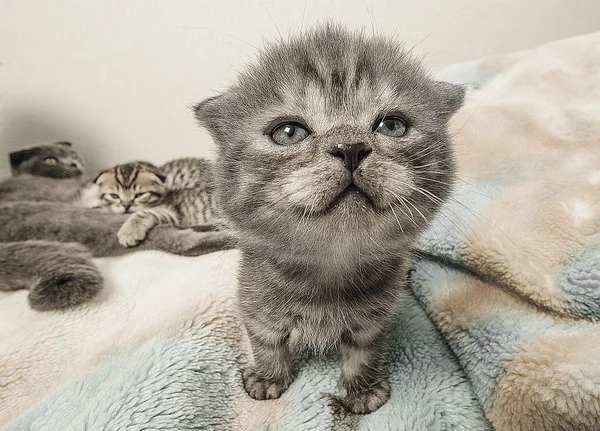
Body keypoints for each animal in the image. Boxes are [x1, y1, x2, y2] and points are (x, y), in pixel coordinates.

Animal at [197, 25, 464, 416]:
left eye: (392, 125)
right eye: (288, 132)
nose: (350, 147)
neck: (328, 271)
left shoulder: (375, 319)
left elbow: (363, 353)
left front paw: (361, 391)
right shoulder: (255, 300)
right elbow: (266, 341)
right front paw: (268, 378)